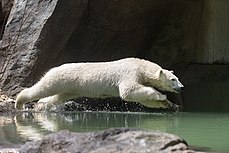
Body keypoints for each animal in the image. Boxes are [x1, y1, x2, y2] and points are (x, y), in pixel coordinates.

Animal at [15, 57, 183, 110]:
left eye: (177, 78)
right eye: (173, 79)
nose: (181, 87)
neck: (141, 66)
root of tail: (54, 68)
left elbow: (141, 98)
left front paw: (170, 104)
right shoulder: (130, 73)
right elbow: (128, 91)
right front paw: (162, 96)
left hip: (73, 87)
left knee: (58, 96)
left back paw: (43, 105)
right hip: (61, 78)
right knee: (44, 88)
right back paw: (19, 102)